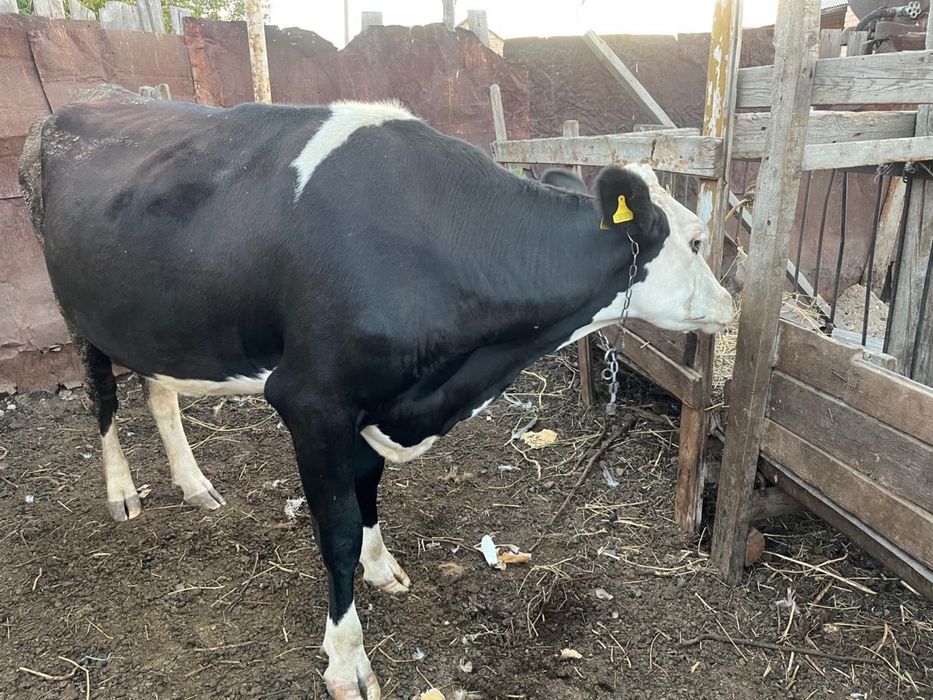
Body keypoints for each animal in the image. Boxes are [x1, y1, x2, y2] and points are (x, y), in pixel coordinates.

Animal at [19, 85, 733, 699]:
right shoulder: (313, 402)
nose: (731, 306)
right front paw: (347, 661)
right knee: (102, 398)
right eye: (698, 240)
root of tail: (78, 105)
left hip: (157, 321)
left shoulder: (377, 402)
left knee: (159, 391)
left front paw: (382, 566)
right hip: (78, 311)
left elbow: (368, 495)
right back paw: (122, 493)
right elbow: (334, 532)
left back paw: (194, 484)